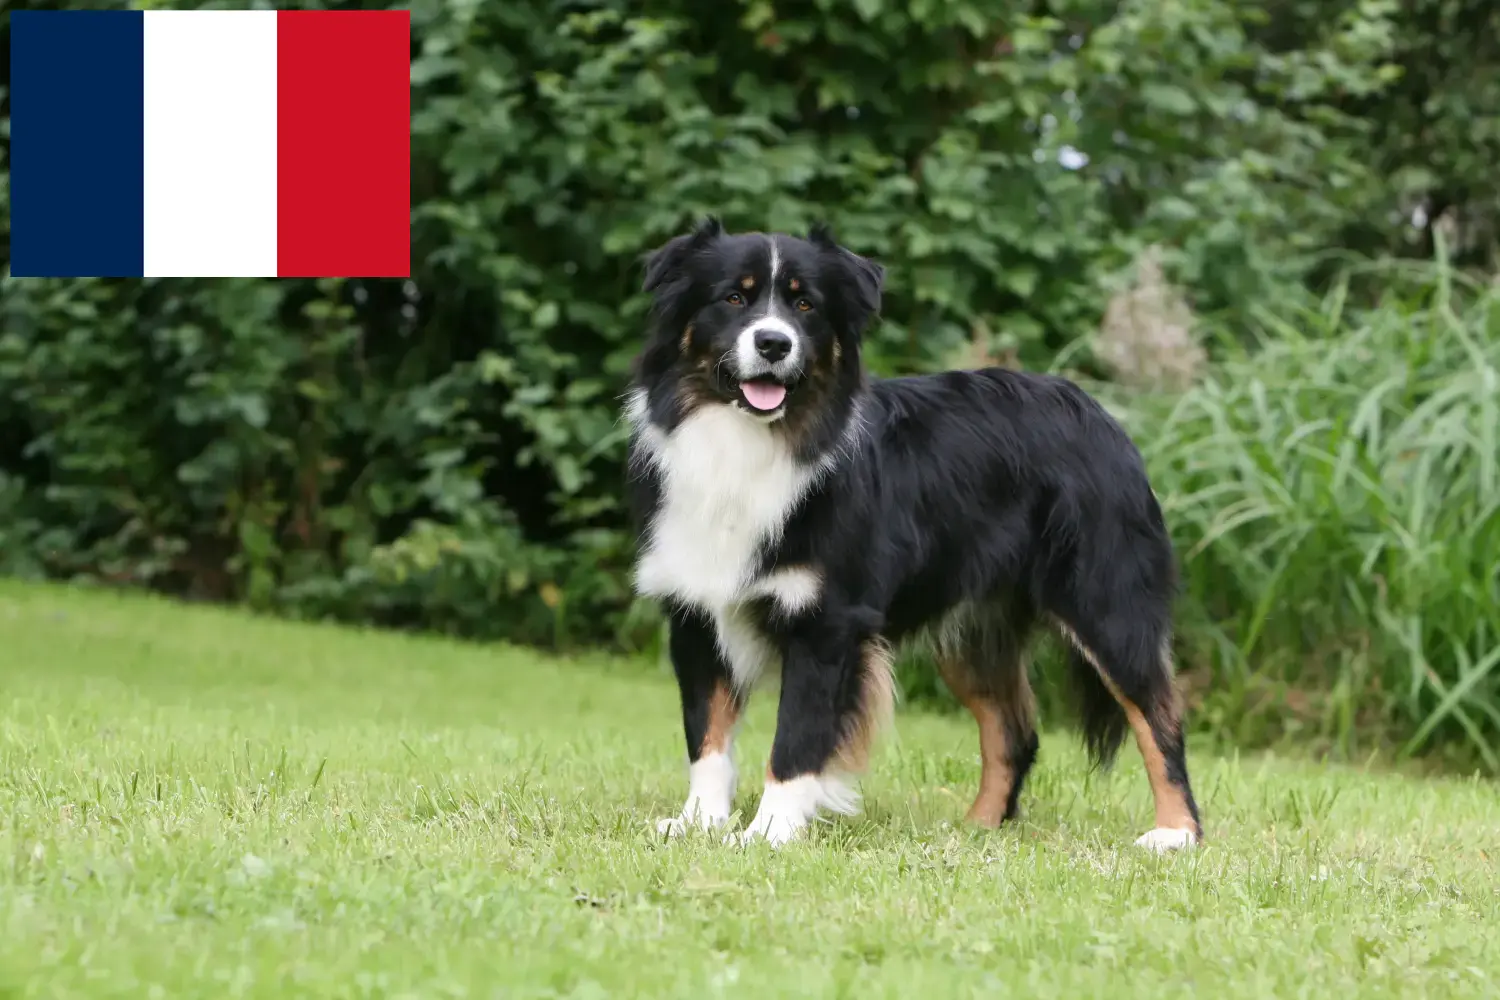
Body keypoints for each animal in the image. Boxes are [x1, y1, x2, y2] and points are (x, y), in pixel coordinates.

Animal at [627, 220, 1200, 851]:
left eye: (805, 305)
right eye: (733, 297)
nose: (774, 344)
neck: (752, 441)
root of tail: (1100, 413)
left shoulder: (828, 623)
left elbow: (796, 739)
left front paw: (770, 831)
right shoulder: (697, 611)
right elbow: (706, 735)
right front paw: (697, 821)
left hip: (1106, 602)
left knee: (1159, 712)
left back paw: (1175, 833)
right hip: (973, 628)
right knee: (1014, 730)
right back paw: (977, 832)